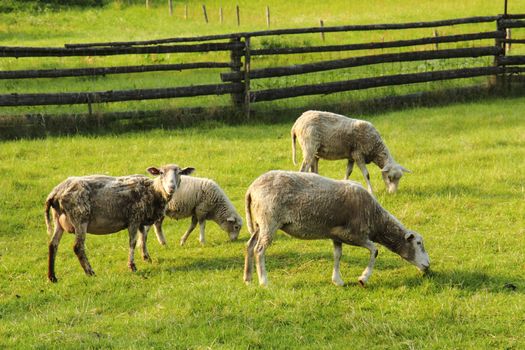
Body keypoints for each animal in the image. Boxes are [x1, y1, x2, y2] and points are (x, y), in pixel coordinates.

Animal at [44, 163, 195, 282]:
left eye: (180, 172)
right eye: (161, 173)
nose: (171, 187)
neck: (153, 191)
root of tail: (55, 193)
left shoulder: (141, 220)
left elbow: (144, 238)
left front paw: (146, 258)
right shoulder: (133, 219)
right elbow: (133, 242)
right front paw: (132, 266)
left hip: (58, 220)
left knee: (53, 245)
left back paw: (52, 277)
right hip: (80, 218)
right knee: (77, 247)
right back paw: (90, 272)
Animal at [244, 170, 428, 288]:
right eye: (419, 243)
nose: (428, 266)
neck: (377, 219)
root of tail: (251, 189)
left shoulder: (337, 236)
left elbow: (338, 255)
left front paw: (337, 280)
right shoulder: (354, 235)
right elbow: (374, 250)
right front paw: (363, 278)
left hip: (260, 223)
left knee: (250, 245)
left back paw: (248, 278)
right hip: (269, 221)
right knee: (259, 250)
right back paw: (264, 282)